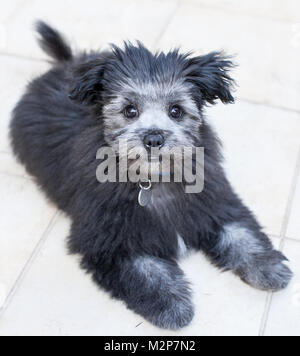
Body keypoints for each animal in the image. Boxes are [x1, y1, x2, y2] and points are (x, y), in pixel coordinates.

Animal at [10, 21, 292, 328]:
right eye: (130, 110)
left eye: (176, 110)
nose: (154, 138)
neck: (155, 179)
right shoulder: (110, 242)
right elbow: (146, 271)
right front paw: (172, 307)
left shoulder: (216, 202)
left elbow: (242, 233)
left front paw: (270, 267)